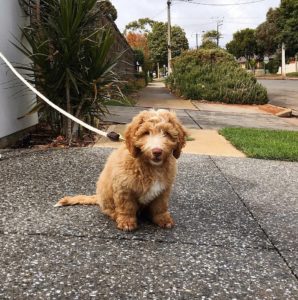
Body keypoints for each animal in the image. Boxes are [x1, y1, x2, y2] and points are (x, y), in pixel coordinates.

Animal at [54, 109, 186, 231]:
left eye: (167, 133)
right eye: (146, 133)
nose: (157, 151)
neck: (151, 166)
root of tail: (98, 197)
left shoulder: (163, 189)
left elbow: (160, 206)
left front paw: (163, 219)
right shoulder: (123, 187)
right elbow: (126, 206)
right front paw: (127, 222)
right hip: (106, 195)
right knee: (109, 210)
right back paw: (116, 215)